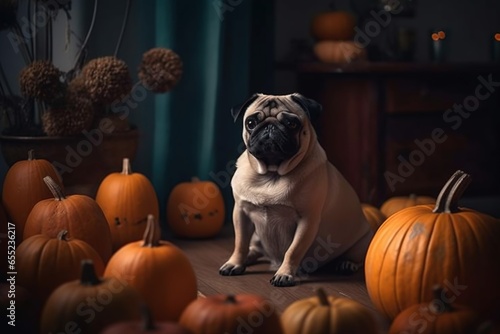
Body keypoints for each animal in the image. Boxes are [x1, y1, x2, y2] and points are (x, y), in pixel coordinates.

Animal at [218, 92, 372, 286]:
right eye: (251, 123)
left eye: (292, 123)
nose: (269, 127)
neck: (272, 173)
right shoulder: (241, 212)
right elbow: (239, 243)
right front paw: (235, 263)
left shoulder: (307, 221)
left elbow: (293, 250)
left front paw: (285, 274)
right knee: (254, 248)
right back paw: (249, 257)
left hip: (363, 241)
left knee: (356, 258)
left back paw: (347, 263)